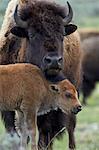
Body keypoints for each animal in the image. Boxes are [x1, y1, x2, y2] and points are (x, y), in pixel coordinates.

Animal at [0, 0, 82, 149]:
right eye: (31, 35)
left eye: (62, 35)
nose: (54, 60)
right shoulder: (10, 108)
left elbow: (44, 133)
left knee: (69, 129)